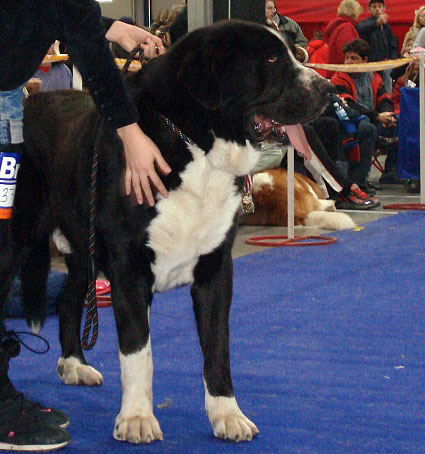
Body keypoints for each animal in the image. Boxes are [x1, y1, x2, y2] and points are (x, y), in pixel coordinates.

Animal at [0, 21, 332, 444]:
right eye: (271, 59)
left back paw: (75, 365)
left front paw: (227, 415)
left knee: (69, 300)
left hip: (82, 249)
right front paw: (137, 418)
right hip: (14, 242)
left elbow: (217, 346)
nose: (328, 90)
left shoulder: (215, 268)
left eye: (292, 51)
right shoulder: (129, 267)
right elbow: (139, 352)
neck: (198, 148)